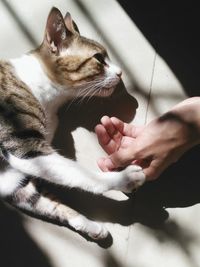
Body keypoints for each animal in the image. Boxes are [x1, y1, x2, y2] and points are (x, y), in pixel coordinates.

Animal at [0, 6, 145, 243]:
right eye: (98, 58)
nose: (120, 72)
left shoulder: (11, 175)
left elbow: (48, 202)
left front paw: (87, 224)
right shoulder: (25, 146)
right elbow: (79, 173)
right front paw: (124, 178)